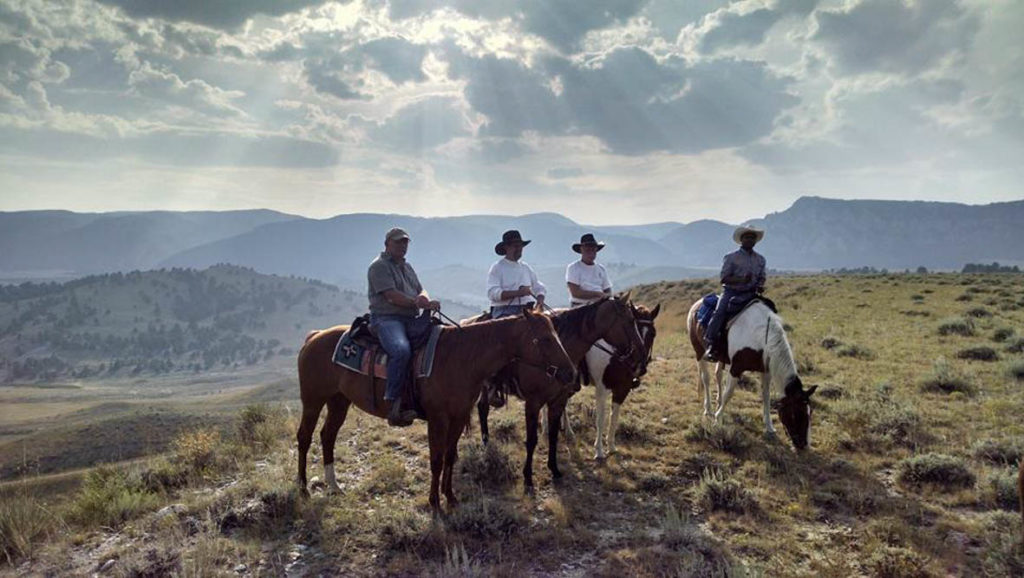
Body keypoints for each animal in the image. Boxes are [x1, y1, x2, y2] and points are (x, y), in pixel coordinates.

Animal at [299, 309, 581, 512]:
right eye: (543, 339)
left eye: (557, 335)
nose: (570, 373)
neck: (461, 357)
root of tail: (314, 336)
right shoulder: (438, 419)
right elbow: (435, 459)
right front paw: (434, 502)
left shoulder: (458, 416)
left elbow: (450, 456)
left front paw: (450, 496)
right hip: (313, 401)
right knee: (305, 437)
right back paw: (303, 489)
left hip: (338, 401)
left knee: (327, 436)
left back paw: (334, 486)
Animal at [473, 295, 647, 489]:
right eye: (630, 320)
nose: (641, 354)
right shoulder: (533, 402)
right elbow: (531, 440)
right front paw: (528, 477)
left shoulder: (559, 399)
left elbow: (554, 436)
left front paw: (554, 469)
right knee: (483, 408)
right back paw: (486, 446)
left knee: (482, 407)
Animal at [589, 303, 659, 461]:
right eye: (633, 328)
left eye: (653, 333)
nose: (638, 366)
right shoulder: (601, 390)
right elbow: (600, 419)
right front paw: (599, 451)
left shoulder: (622, 390)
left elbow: (614, 418)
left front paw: (611, 447)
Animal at [684, 295, 819, 448]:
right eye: (797, 413)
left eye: (810, 412)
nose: (804, 445)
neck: (762, 338)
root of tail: (697, 303)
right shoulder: (736, 369)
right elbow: (729, 393)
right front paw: (718, 420)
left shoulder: (766, 371)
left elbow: (766, 395)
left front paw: (769, 427)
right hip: (699, 352)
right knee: (705, 378)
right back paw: (708, 409)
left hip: (720, 358)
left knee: (717, 374)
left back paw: (718, 402)